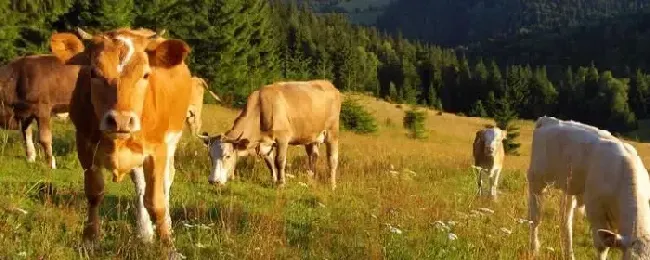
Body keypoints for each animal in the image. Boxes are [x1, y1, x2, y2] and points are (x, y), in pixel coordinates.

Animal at [50, 27, 192, 247]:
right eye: (93, 73)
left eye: (145, 74)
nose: (121, 121)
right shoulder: (84, 144)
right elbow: (94, 194)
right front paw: (90, 239)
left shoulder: (158, 149)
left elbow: (156, 201)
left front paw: (168, 244)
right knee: (141, 188)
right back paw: (145, 232)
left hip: (171, 144)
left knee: (165, 183)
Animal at [197, 79, 342, 189]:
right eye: (210, 156)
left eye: (227, 156)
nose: (213, 181)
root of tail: (328, 84)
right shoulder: (265, 145)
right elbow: (270, 164)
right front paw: (274, 181)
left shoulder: (282, 139)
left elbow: (279, 161)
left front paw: (281, 183)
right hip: (311, 136)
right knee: (313, 156)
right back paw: (310, 180)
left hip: (332, 132)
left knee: (332, 159)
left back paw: (332, 185)